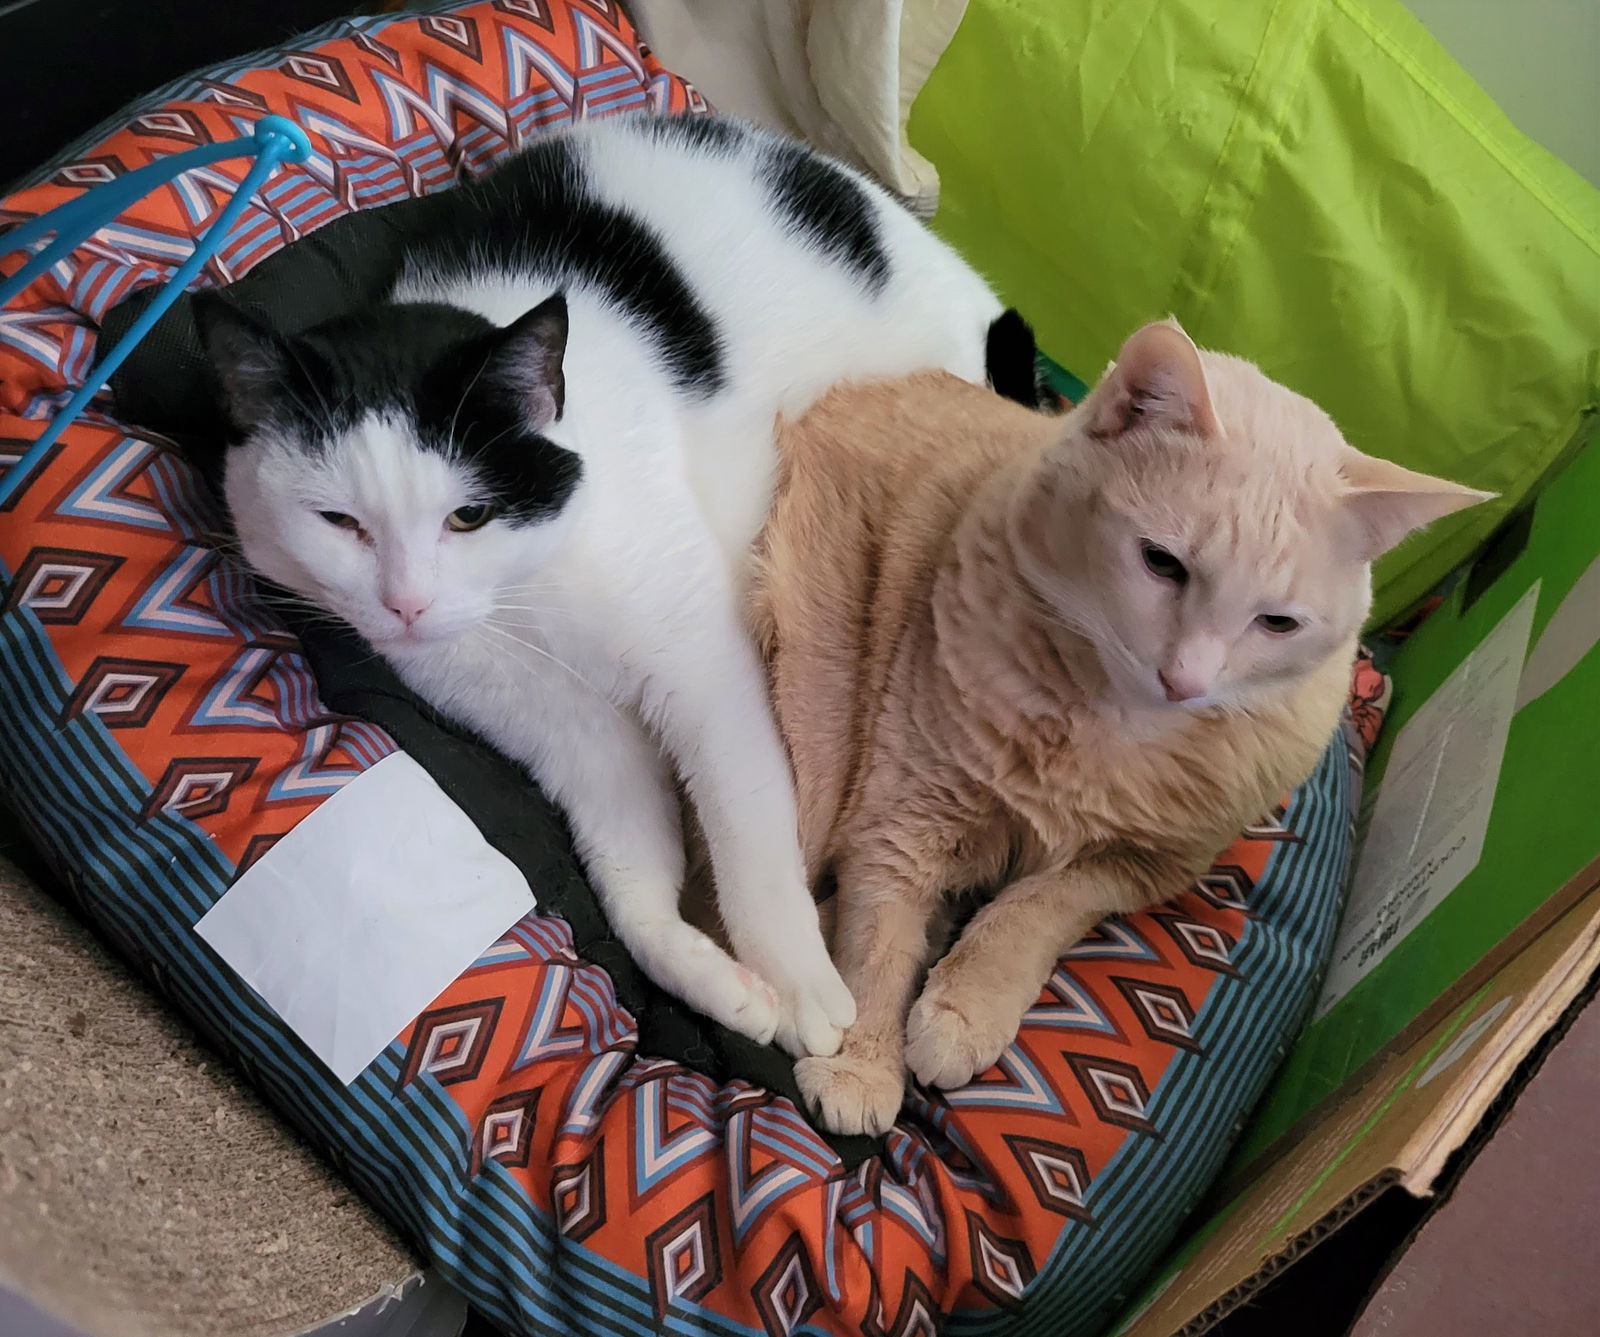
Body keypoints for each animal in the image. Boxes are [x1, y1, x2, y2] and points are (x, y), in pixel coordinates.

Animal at [200, 111, 1024, 1055]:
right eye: (340, 522)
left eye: (469, 516)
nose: (406, 603)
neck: (526, 601)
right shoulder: (580, 740)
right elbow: (630, 885)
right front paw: (719, 981)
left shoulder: (705, 672)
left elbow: (748, 832)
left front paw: (801, 983)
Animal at [748, 318, 1484, 1132]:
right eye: (1162, 562)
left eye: (1278, 623)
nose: (1185, 679)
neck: (1103, 726)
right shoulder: (904, 819)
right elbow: (878, 944)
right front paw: (861, 1061)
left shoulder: (1144, 865)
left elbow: (1036, 908)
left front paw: (964, 1007)